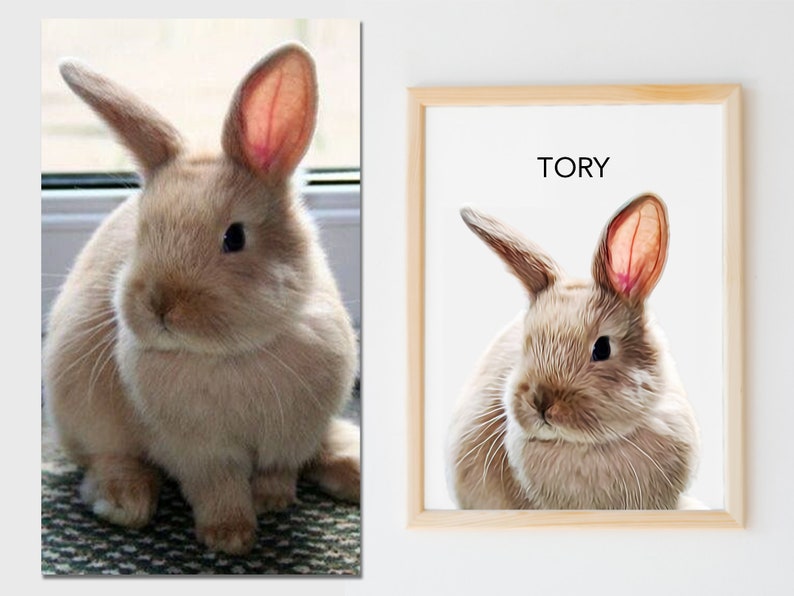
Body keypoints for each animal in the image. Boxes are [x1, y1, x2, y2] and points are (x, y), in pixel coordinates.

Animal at [42, 43, 360, 555]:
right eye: (142, 232)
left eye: (234, 237)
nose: (160, 306)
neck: (229, 355)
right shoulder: (201, 454)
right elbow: (218, 488)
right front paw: (229, 535)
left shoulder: (287, 439)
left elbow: (277, 472)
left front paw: (272, 502)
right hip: (82, 412)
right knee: (107, 458)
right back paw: (123, 500)